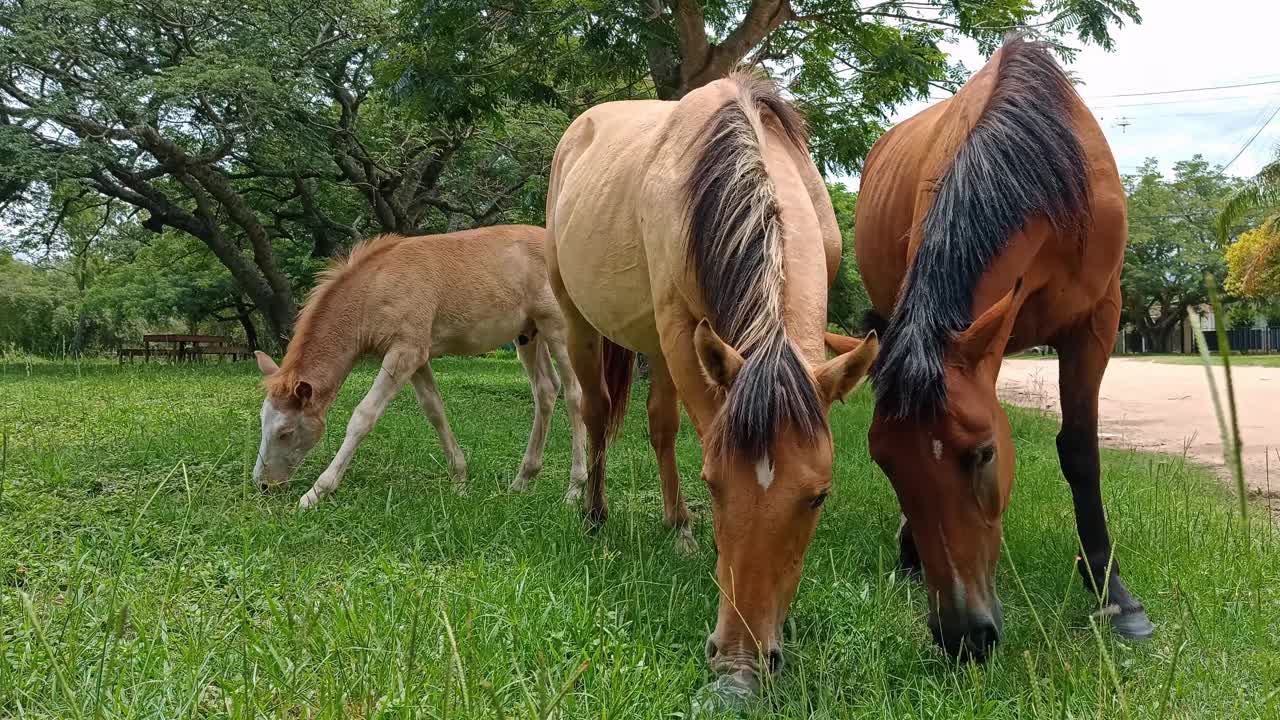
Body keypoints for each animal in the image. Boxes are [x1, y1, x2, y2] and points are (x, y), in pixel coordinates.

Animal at [250, 224, 588, 504]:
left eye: (285, 432)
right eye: (262, 421)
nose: (263, 485)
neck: (375, 287)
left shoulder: (405, 351)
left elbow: (364, 415)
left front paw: (316, 492)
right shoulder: (416, 354)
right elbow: (433, 409)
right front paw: (459, 481)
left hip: (557, 328)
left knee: (574, 394)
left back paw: (574, 490)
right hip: (528, 335)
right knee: (546, 389)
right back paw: (522, 481)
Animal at [542, 75, 880, 681]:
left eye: (818, 497)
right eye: (714, 485)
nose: (742, 657)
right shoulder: (681, 332)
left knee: (659, 425)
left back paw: (677, 526)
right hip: (582, 320)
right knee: (596, 411)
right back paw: (595, 514)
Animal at [839, 37, 1152, 655]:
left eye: (983, 453)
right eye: (885, 463)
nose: (963, 635)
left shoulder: (1097, 323)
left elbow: (1081, 451)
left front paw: (1113, 594)